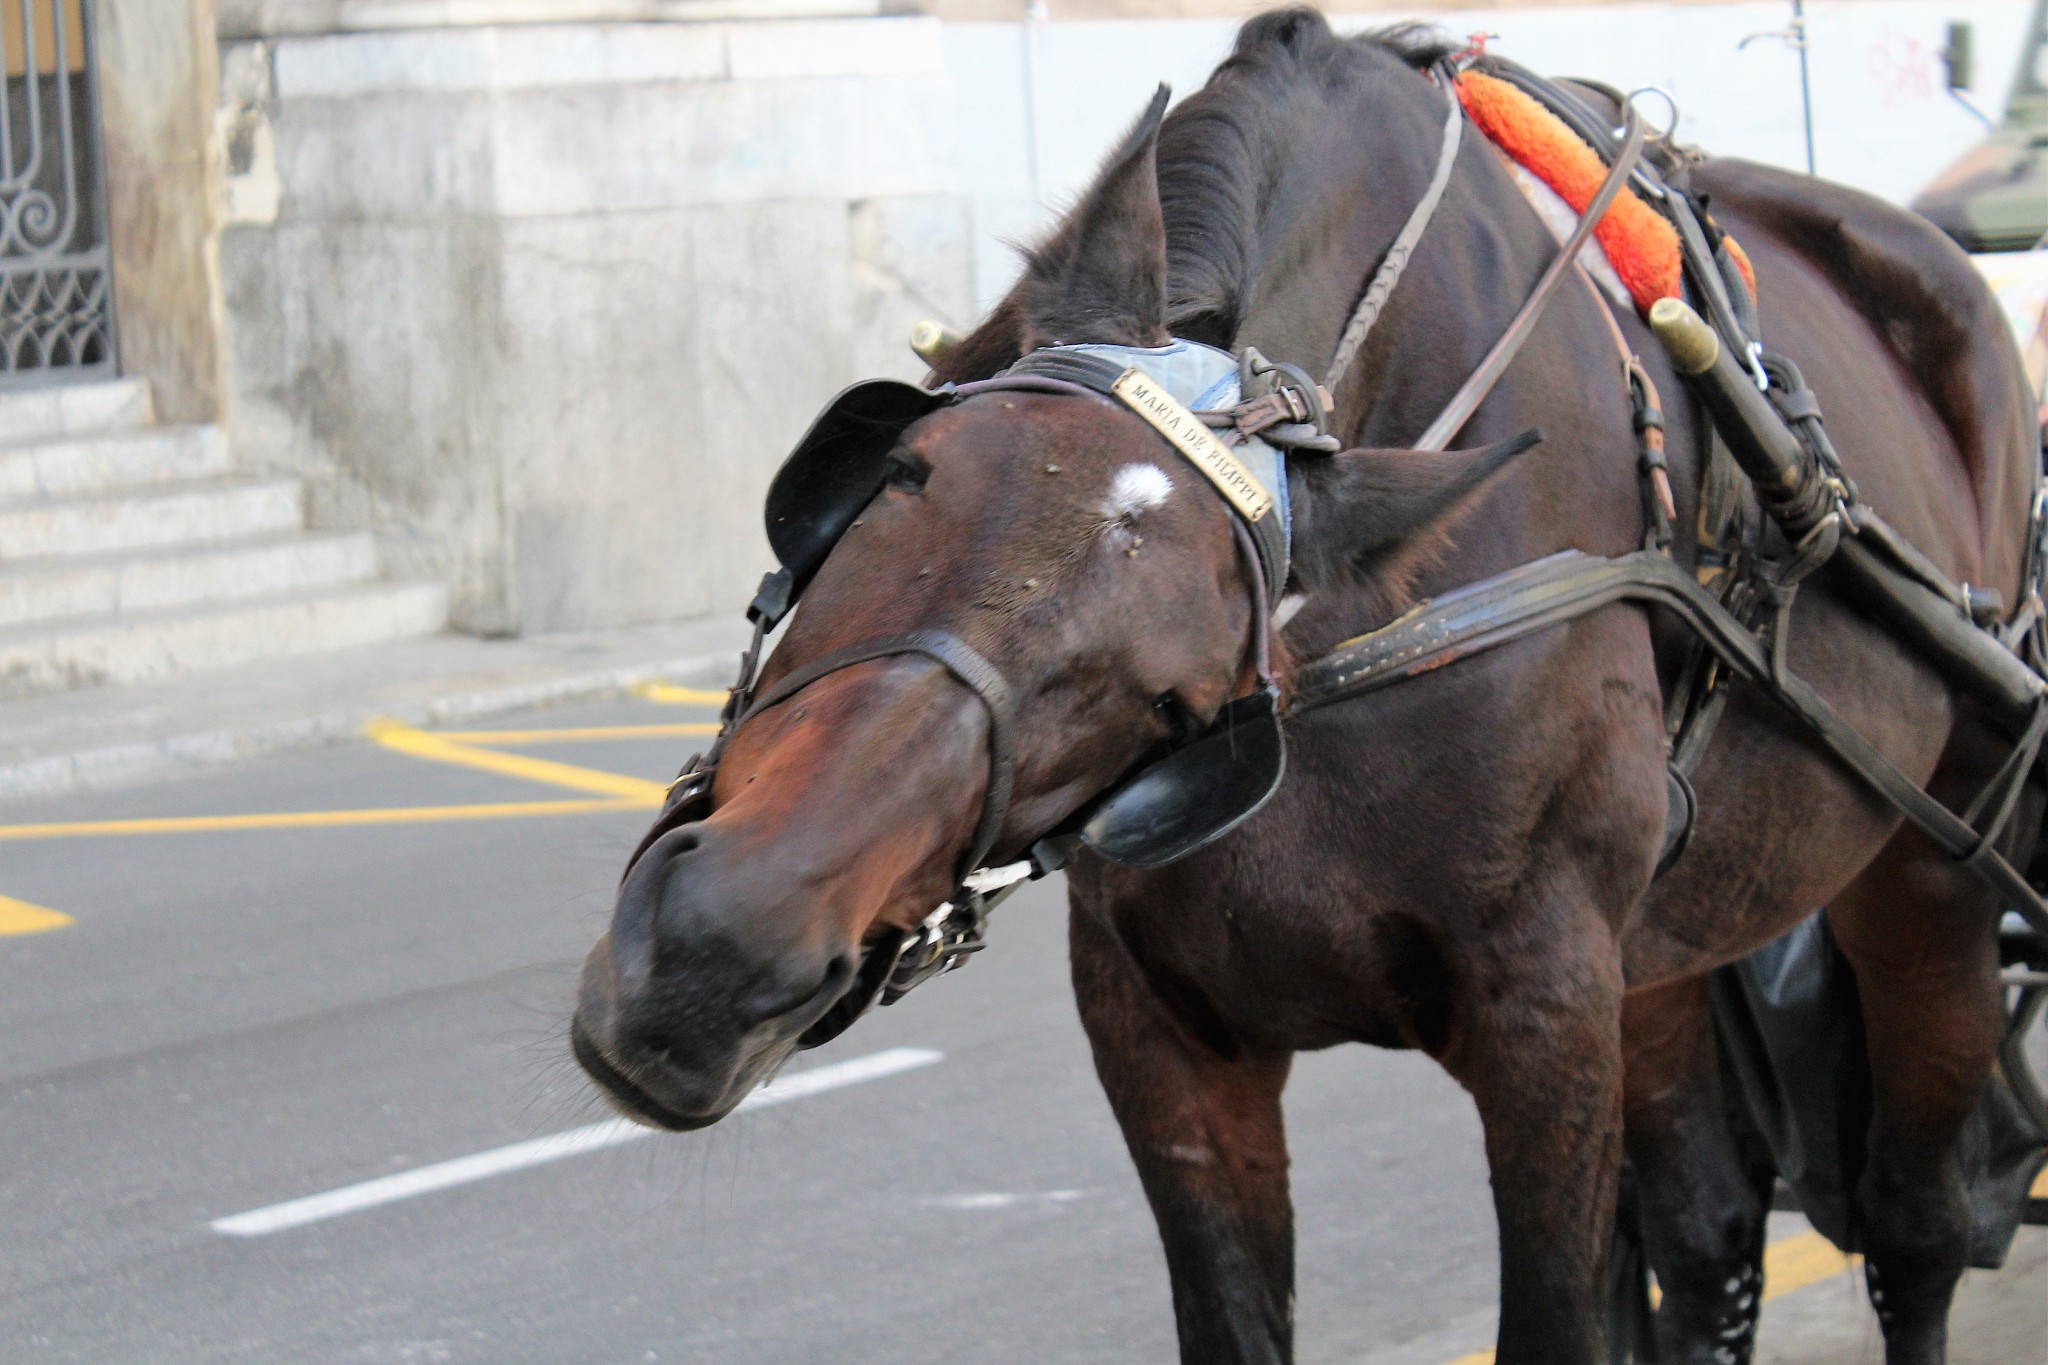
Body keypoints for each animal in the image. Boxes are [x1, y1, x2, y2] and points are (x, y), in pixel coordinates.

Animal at [570, 12, 2041, 1363]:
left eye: (1170, 694)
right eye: (899, 473)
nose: (713, 957)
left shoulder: (1546, 1022)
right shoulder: (1164, 1040)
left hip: (1926, 871)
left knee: (1913, 1224)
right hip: (1670, 946)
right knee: (1708, 1230)